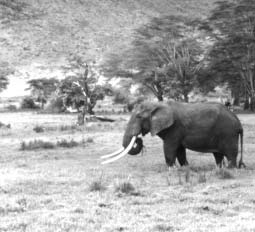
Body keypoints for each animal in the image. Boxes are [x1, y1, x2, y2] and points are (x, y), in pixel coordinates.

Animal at [102, 101, 245, 169]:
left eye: (139, 117)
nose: (139, 140)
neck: (157, 104)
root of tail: (239, 123)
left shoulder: (174, 128)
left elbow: (169, 147)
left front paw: (171, 169)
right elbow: (180, 150)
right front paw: (185, 168)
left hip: (228, 133)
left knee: (230, 153)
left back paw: (229, 169)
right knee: (218, 154)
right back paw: (219, 169)